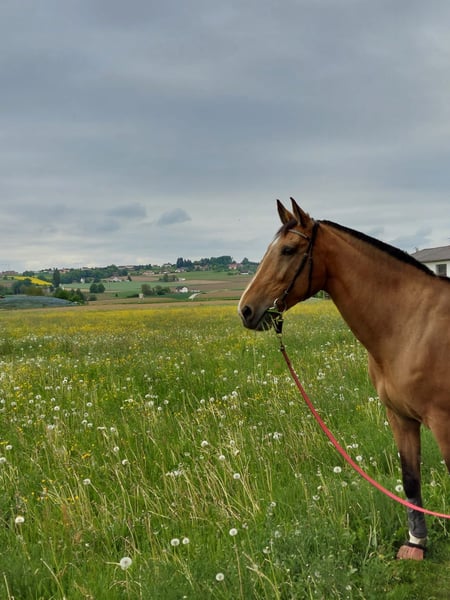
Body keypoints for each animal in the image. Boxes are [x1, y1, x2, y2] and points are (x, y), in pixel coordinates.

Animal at [238, 197, 450, 560]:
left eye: (289, 250)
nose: (246, 310)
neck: (411, 324)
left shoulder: (443, 421)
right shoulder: (400, 417)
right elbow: (410, 478)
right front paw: (415, 543)